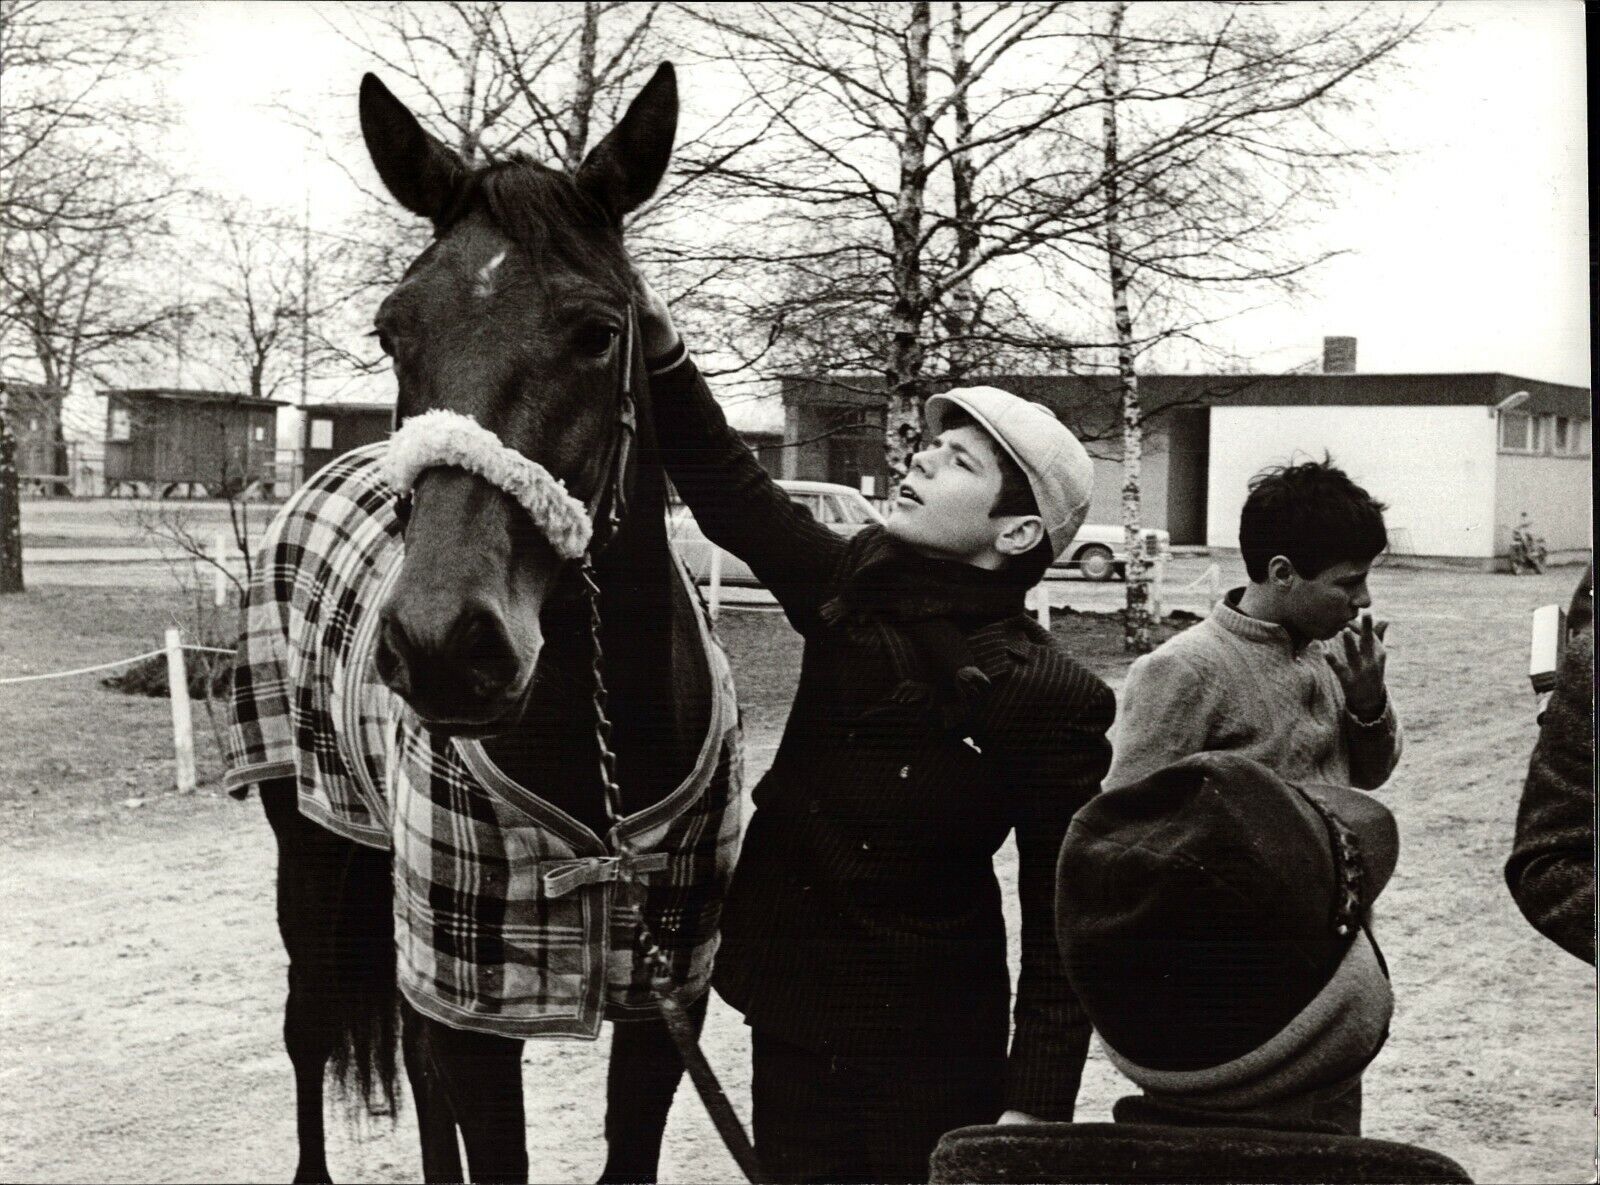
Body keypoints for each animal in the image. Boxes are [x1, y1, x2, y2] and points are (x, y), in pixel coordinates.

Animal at [225, 67, 742, 1183]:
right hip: (313, 850)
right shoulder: (474, 992)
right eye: (391, 331)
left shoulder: (664, 999)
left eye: (599, 330)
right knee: (309, 1026)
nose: (441, 645)